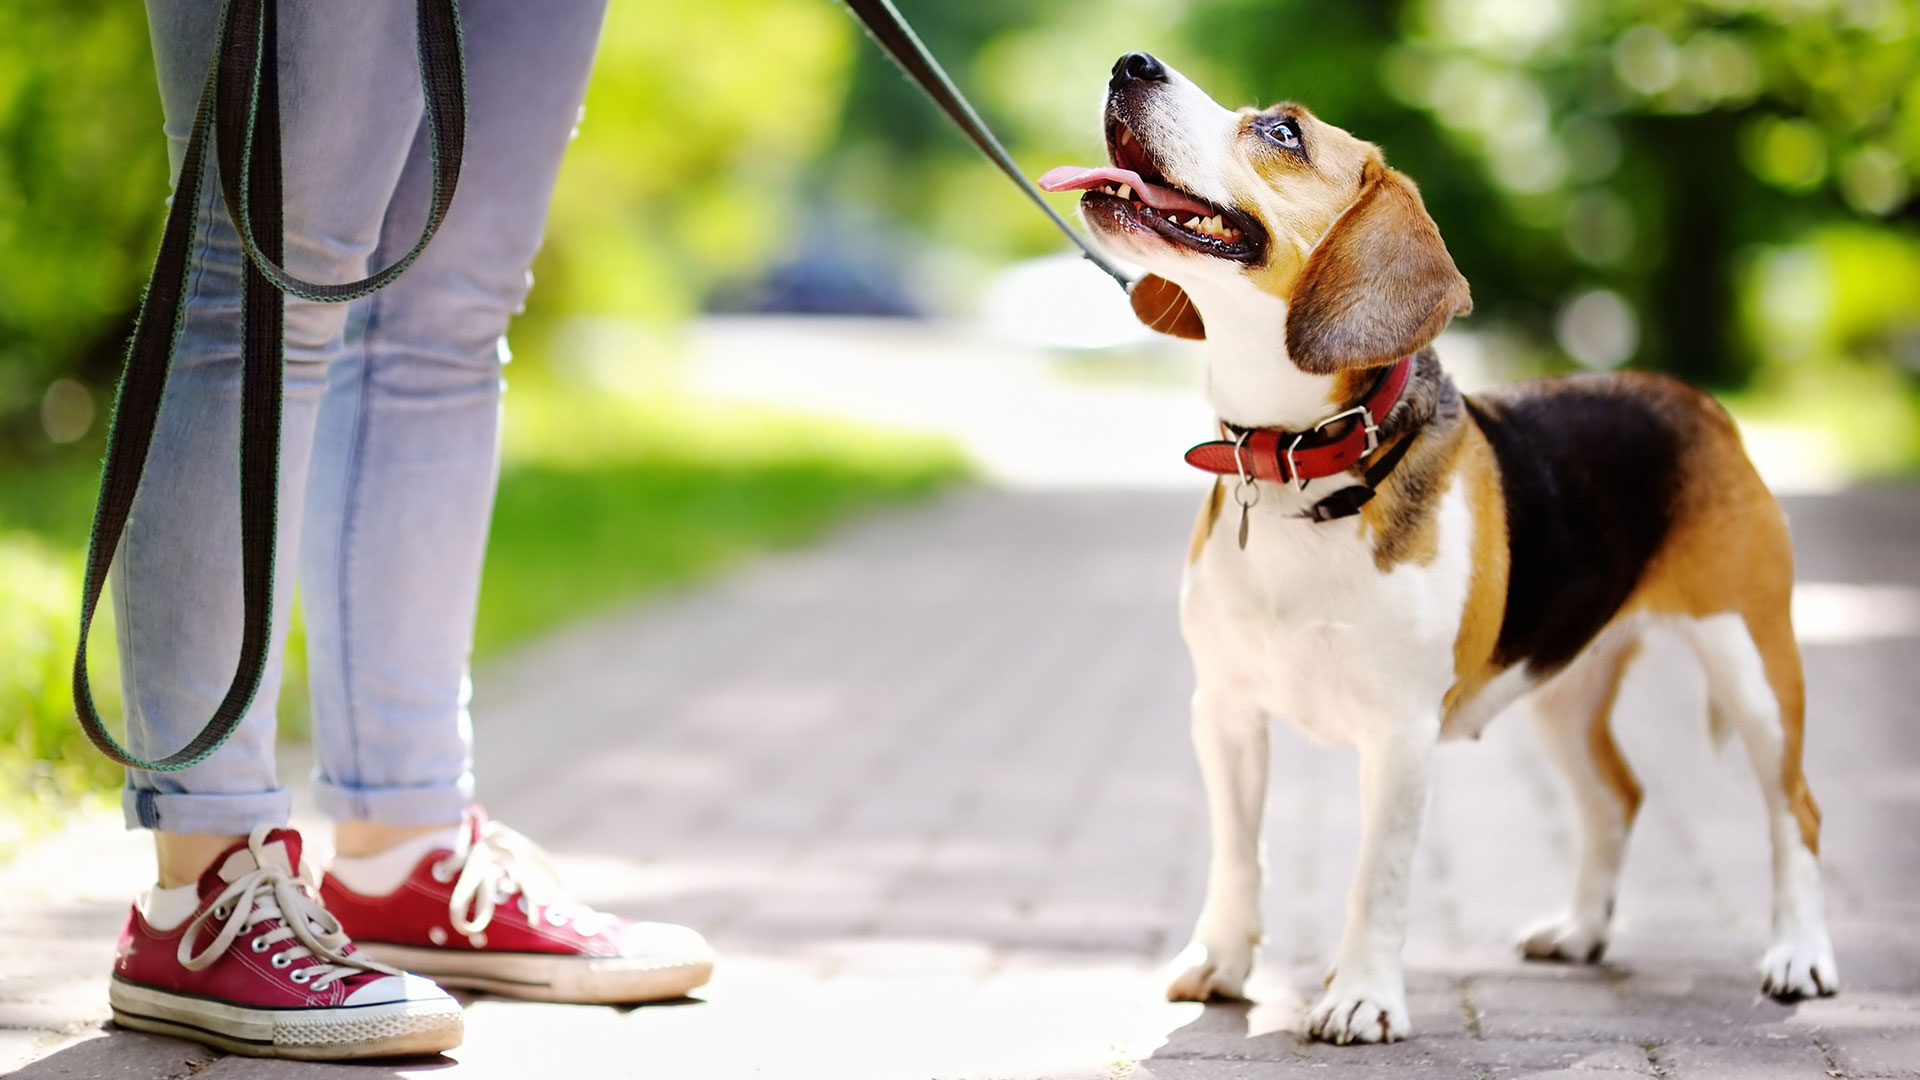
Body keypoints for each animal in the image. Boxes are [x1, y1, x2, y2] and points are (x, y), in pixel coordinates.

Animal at [1044, 52, 1835, 1045]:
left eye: (1282, 131)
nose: (1131, 63)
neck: (1301, 462)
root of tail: (1693, 399)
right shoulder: (1223, 710)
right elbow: (1237, 853)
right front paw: (1221, 961)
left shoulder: (1400, 732)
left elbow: (1375, 877)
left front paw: (1359, 996)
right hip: (1562, 687)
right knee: (1616, 799)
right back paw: (1581, 931)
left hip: (1754, 666)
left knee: (1796, 810)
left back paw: (1800, 956)